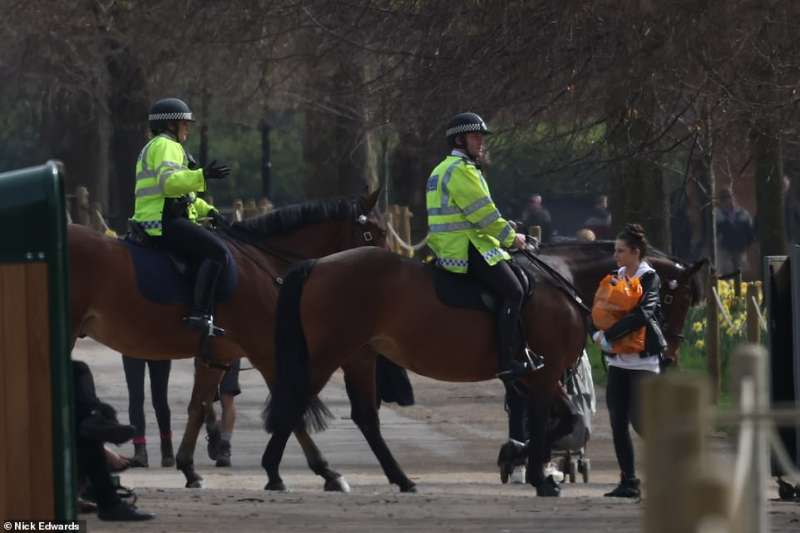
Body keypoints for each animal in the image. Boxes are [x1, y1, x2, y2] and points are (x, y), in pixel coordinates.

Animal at [67, 189, 386, 488]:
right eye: (372, 234)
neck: (261, 263)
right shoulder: (265, 352)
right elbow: (289, 406)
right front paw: (324, 471)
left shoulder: (217, 356)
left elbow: (198, 406)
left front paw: (189, 468)